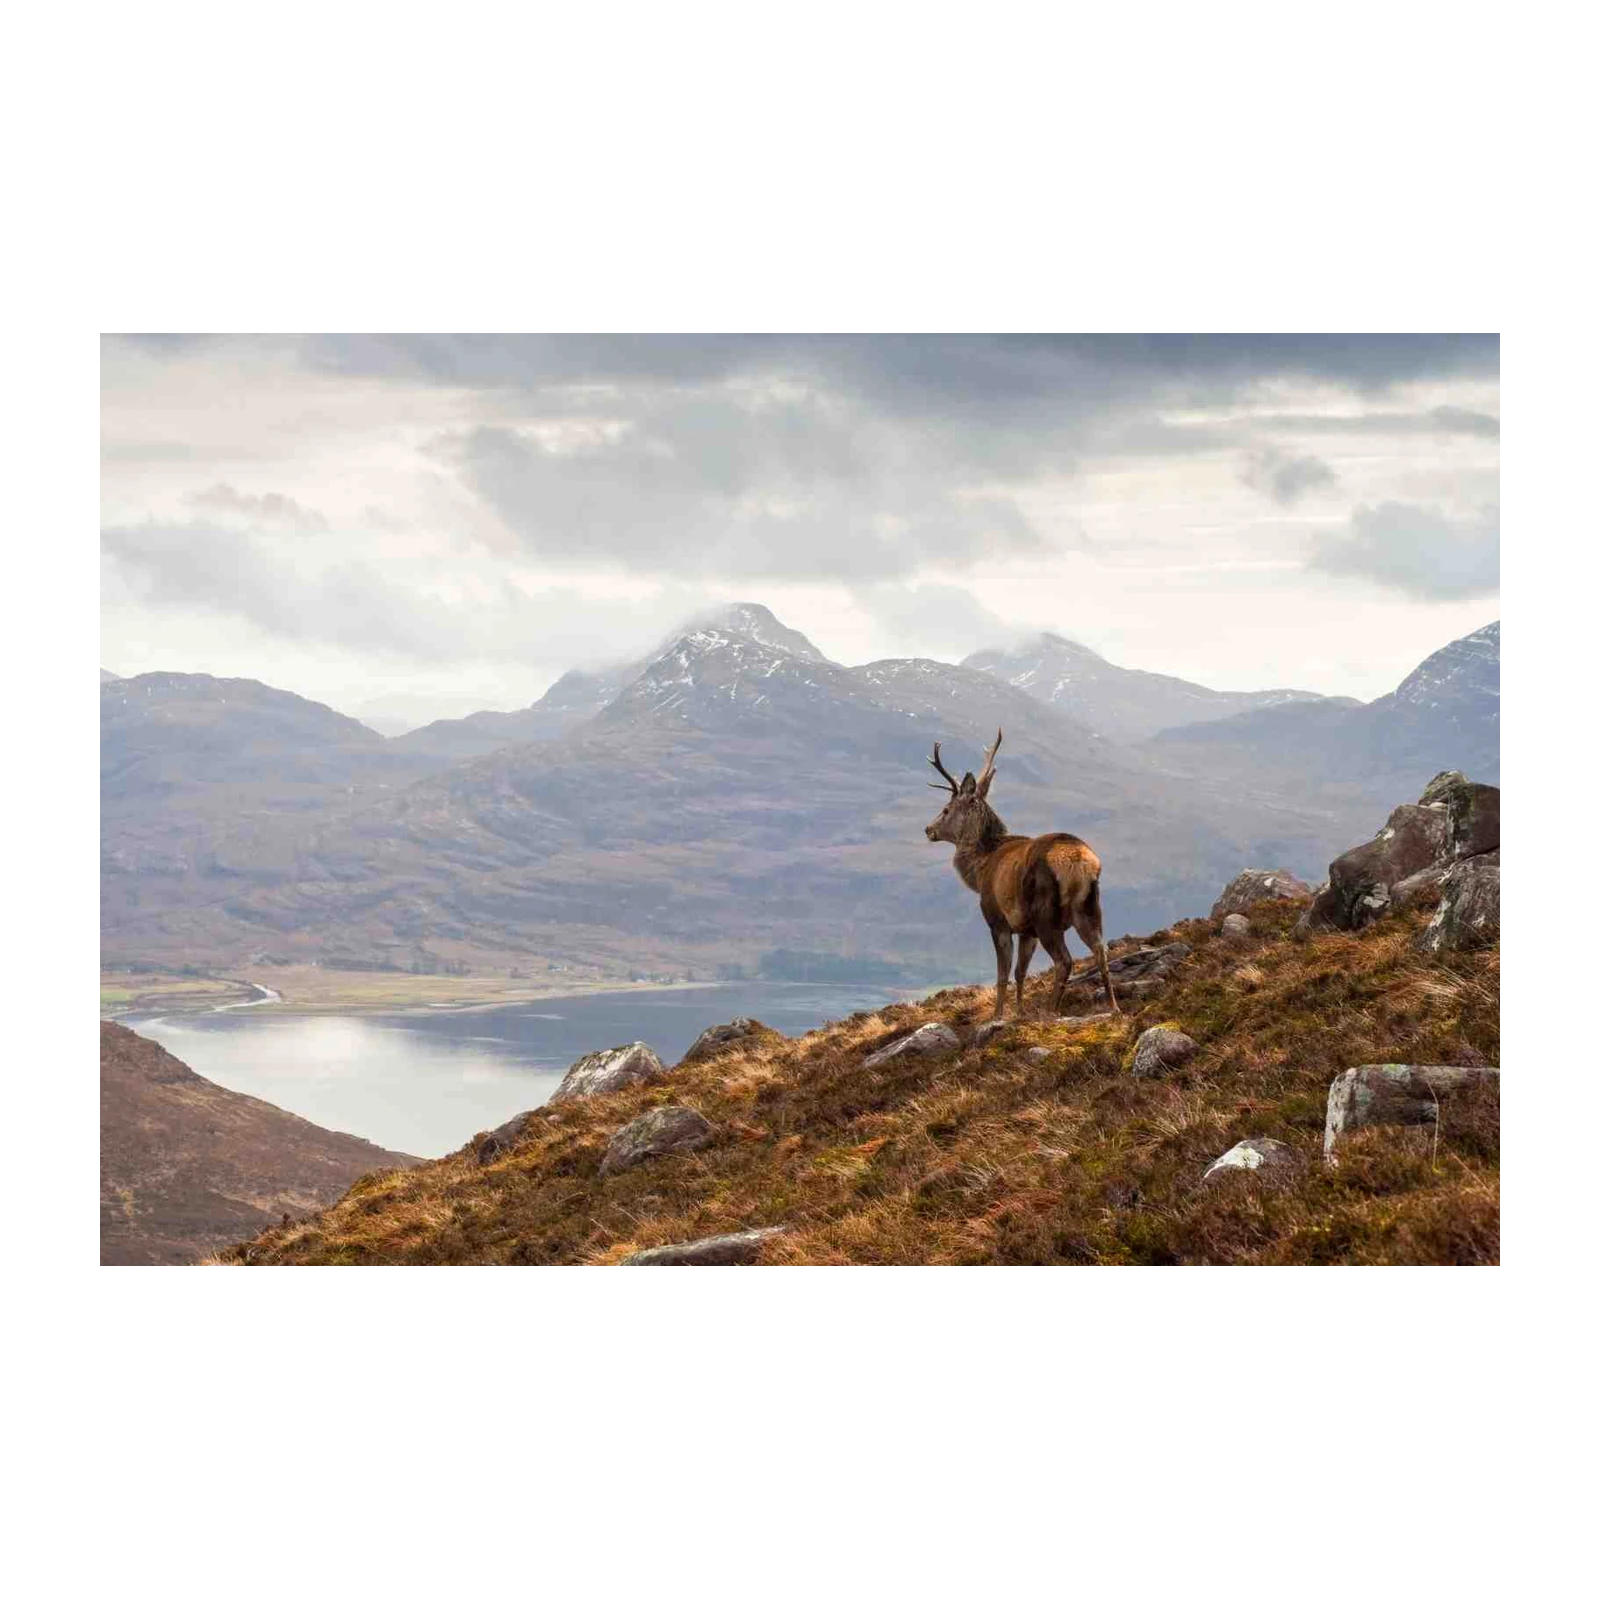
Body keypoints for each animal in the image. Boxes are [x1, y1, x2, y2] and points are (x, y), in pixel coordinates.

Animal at [925, 728, 1118, 1021]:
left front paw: (998, 1016)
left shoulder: (998, 920)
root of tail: (1080, 862)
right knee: (1100, 950)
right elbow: (1020, 972)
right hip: (1089, 906)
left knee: (1065, 960)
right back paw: (1113, 1007)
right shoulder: (1027, 931)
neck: (979, 872)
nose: (928, 829)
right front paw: (1019, 1012)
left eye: (946, 809)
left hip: (1045, 912)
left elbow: (1002, 974)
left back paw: (1050, 1011)